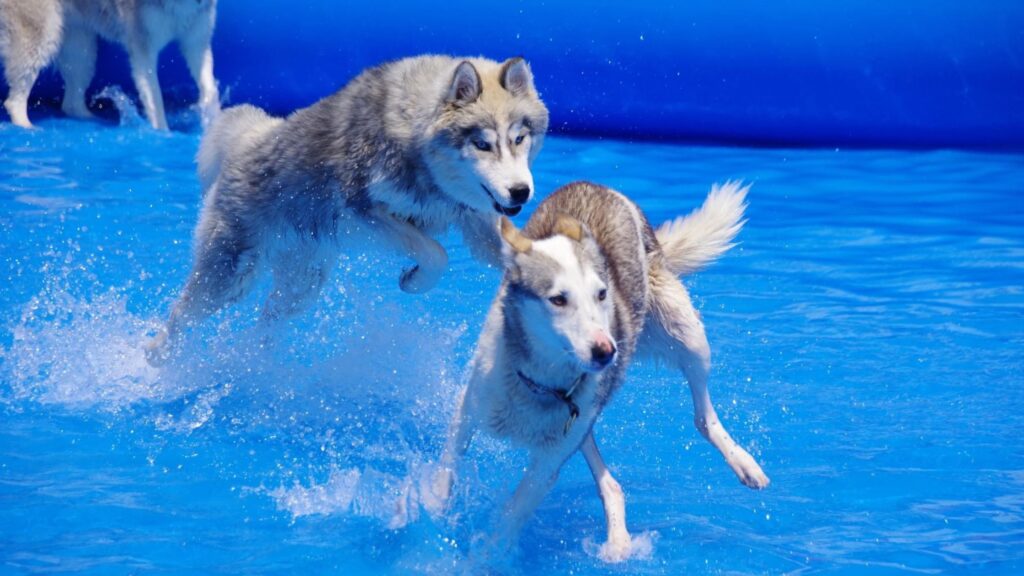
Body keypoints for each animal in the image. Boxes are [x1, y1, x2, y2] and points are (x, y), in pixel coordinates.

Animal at [0, 0, 220, 129]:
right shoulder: (143, 47)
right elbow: (155, 98)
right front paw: (164, 135)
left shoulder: (197, 42)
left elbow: (210, 90)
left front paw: (210, 117)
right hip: (42, 37)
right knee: (14, 100)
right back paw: (26, 126)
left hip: (83, 51)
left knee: (71, 103)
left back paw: (95, 119)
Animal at [142, 56, 552, 364]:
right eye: (483, 144)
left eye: (519, 138)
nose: (521, 191)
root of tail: (250, 136)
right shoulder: (363, 213)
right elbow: (436, 254)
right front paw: (414, 280)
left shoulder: (475, 221)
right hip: (228, 278)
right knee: (181, 315)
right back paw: (157, 357)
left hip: (302, 285)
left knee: (267, 319)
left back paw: (256, 361)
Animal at [423, 180, 770, 561]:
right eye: (558, 299)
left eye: (602, 294)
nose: (608, 351)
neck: (541, 383)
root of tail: (595, 185)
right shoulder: (471, 406)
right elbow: (447, 466)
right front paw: (426, 509)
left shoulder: (547, 464)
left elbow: (510, 517)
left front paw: (479, 555)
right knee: (611, 483)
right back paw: (618, 538)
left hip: (686, 334)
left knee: (703, 417)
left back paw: (742, 462)